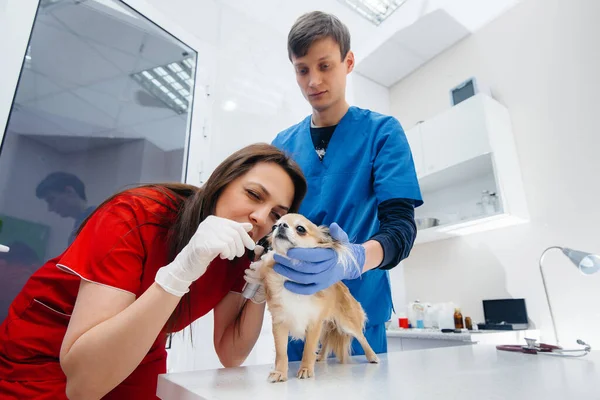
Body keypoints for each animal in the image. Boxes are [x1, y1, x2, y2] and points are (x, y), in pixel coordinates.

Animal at [254, 214, 378, 382]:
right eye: (273, 227)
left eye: (300, 229)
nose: (281, 226)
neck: (292, 279)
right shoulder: (280, 323)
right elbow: (281, 353)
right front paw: (280, 372)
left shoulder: (314, 324)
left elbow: (308, 349)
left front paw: (306, 369)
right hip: (326, 326)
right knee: (325, 342)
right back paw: (320, 357)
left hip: (347, 322)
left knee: (361, 337)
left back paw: (372, 356)